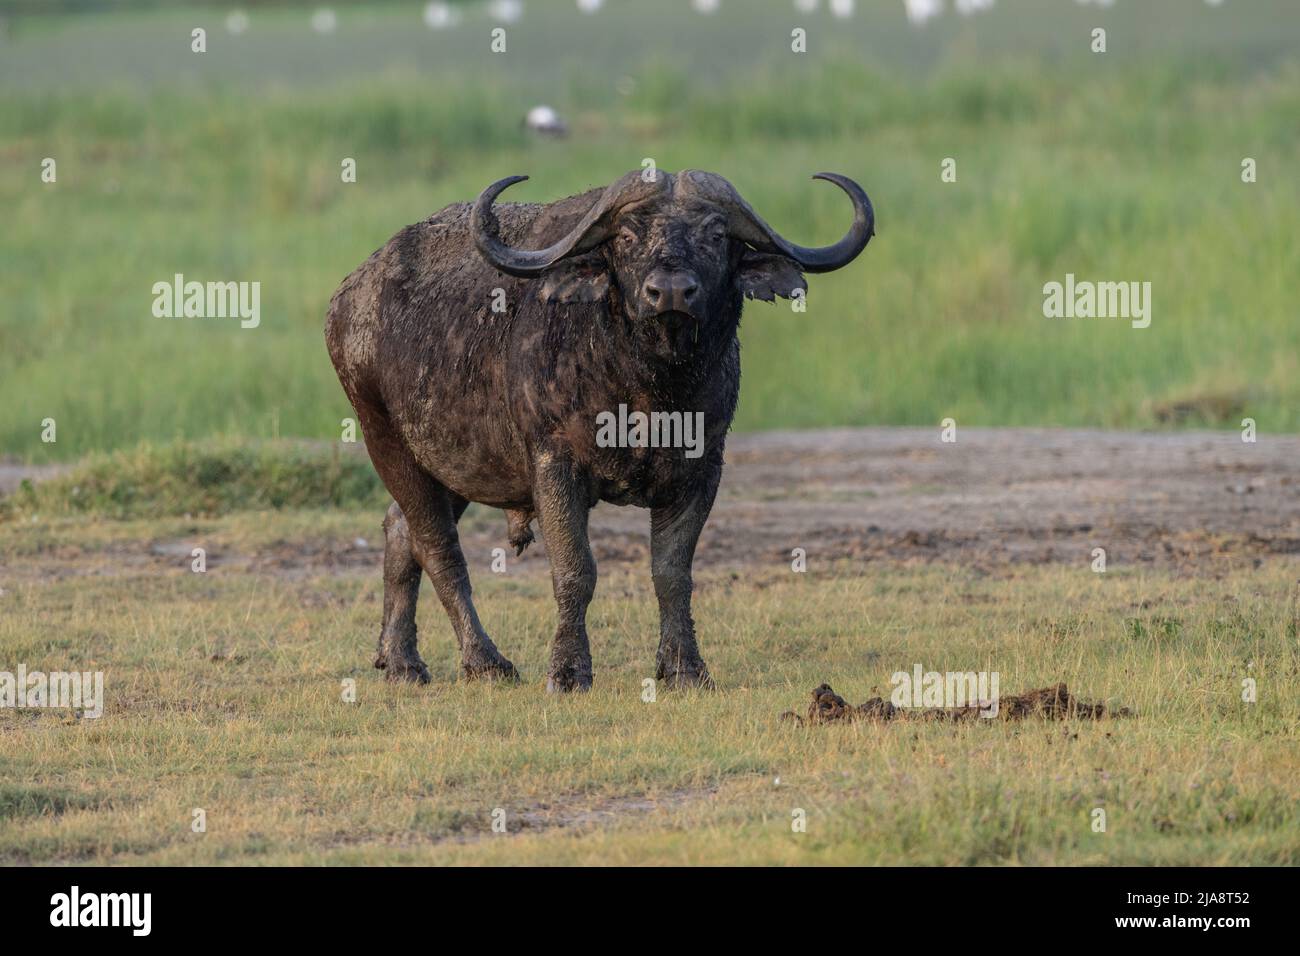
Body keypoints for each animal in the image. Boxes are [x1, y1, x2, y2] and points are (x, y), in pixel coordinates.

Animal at [323, 171, 873, 691]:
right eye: (627, 235)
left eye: (717, 234)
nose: (670, 292)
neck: (650, 390)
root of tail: (348, 298)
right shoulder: (554, 466)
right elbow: (575, 571)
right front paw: (568, 672)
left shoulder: (702, 468)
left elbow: (672, 572)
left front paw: (684, 669)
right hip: (384, 439)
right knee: (438, 548)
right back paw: (484, 661)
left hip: (456, 464)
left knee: (401, 530)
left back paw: (400, 660)